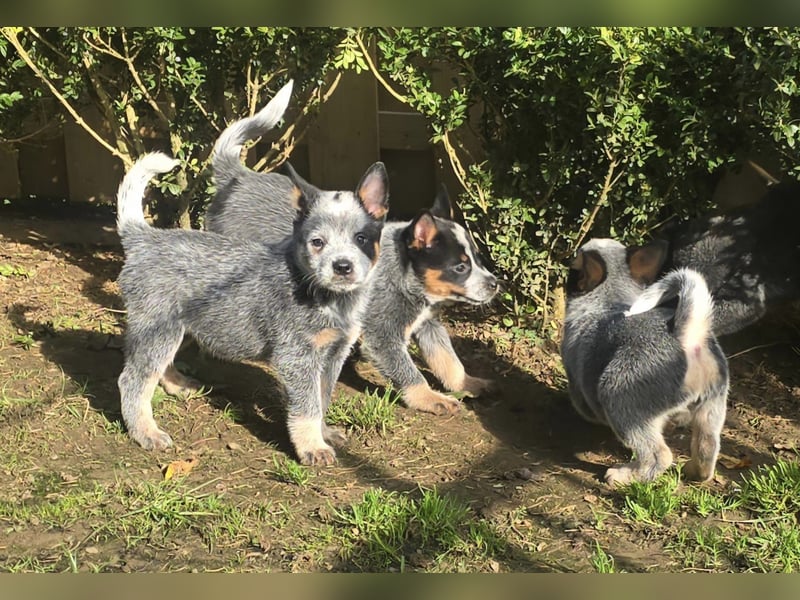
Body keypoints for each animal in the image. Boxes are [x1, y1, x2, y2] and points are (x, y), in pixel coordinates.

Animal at [115, 149, 388, 464]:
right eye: (317, 242)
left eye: (361, 238)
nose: (342, 266)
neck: (329, 299)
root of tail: (144, 237)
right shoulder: (297, 357)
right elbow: (307, 407)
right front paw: (313, 446)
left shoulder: (334, 354)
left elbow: (322, 399)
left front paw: (324, 432)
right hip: (159, 331)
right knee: (133, 381)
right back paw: (146, 432)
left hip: (178, 330)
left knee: (159, 367)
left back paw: (178, 385)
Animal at [203, 88, 496, 418]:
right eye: (460, 267)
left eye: (477, 259)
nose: (495, 284)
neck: (404, 273)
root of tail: (237, 178)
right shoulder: (383, 336)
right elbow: (411, 373)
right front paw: (430, 398)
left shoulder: (427, 323)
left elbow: (447, 359)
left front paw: (468, 383)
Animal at [560, 237, 728, 486]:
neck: (609, 296)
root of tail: (686, 335)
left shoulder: (576, 378)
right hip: (711, 409)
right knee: (707, 447)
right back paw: (695, 472)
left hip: (618, 398)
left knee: (659, 455)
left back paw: (624, 476)